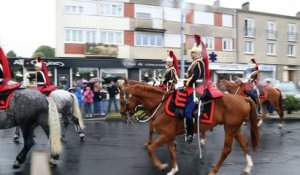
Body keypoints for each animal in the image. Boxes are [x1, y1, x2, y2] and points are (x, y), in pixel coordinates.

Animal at [118, 81, 258, 175]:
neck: (160, 105)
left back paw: (213, 170)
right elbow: (171, 151)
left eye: (122, 101)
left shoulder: (166, 134)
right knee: (244, 144)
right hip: (235, 128)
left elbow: (151, 149)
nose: (123, 116)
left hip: (230, 128)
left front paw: (161, 166)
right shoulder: (169, 135)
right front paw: (173, 169)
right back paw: (248, 167)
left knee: (226, 150)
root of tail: (243, 98)